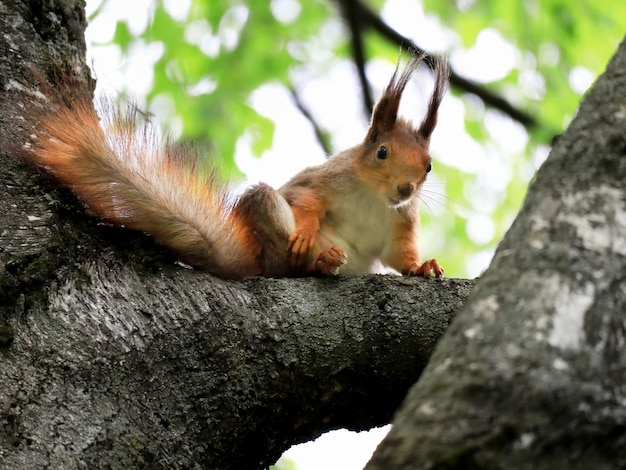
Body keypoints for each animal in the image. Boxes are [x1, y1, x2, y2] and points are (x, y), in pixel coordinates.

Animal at [23, 52, 444, 280]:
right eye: (382, 152)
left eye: (428, 167)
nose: (405, 189)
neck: (374, 197)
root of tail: (251, 263)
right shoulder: (323, 180)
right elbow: (304, 199)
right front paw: (307, 229)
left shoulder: (401, 222)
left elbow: (399, 255)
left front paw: (423, 267)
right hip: (269, 225)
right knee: (286, 263)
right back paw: (318, 259)